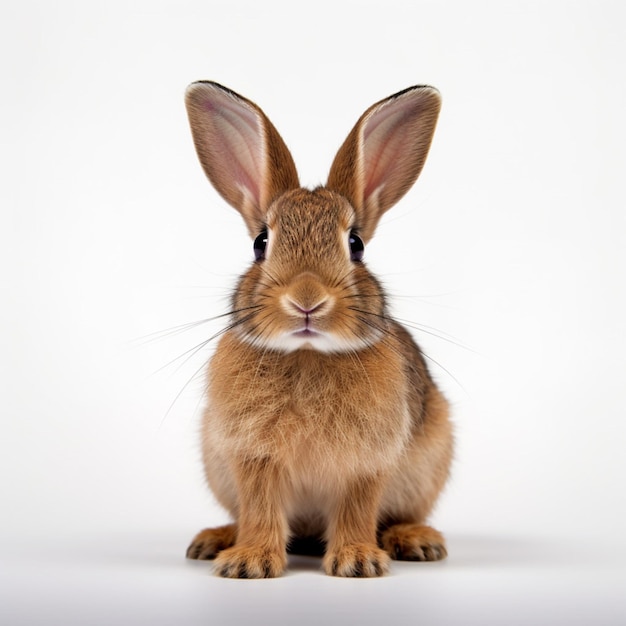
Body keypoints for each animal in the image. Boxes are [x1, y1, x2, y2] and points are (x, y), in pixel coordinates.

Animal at [183, 81, 450, 576]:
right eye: (261, 243)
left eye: (356, 244)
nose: (306, 300)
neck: (308, 355)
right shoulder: (252, 457)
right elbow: (260, 508)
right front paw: (248, 563)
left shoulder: (366, 463)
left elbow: (357, 508)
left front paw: (358, 562)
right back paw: (215, 540)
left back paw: (416, 540)